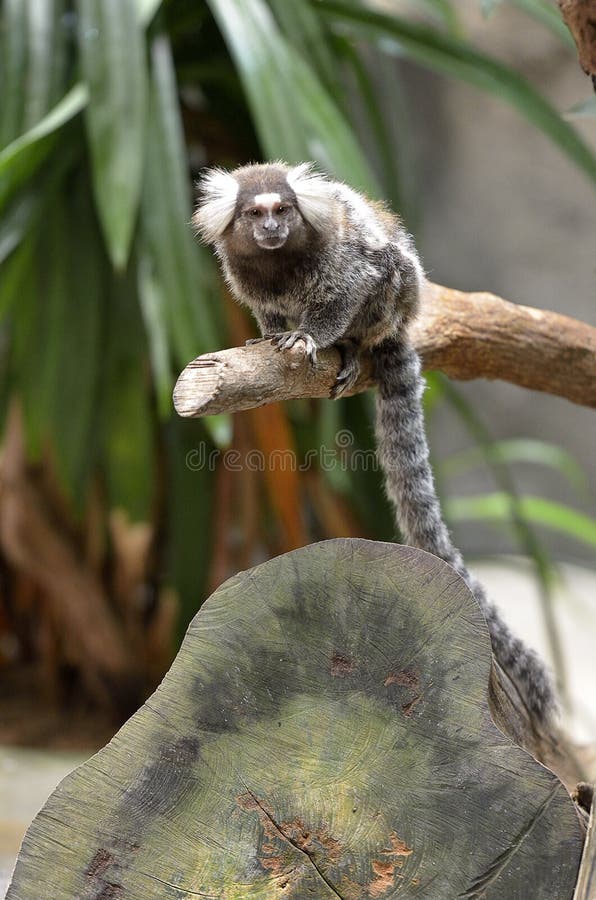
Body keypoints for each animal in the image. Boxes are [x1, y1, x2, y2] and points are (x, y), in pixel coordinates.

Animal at [194, 162, 556, 720]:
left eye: (283, 210)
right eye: (255, 213)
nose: (271, 228)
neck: (279, 264)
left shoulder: (342, 268)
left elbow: (350, 288)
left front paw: (312, 337)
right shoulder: (247, 278)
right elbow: (267, 314)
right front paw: (269, 335)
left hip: (397, 299)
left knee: (386, 274)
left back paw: (350, 347)